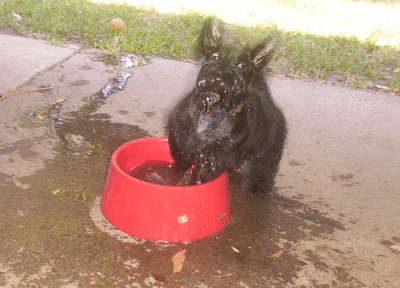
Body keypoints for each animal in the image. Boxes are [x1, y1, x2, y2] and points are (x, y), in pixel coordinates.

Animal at [167, 17, 286, 194]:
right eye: (215, 56)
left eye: (242, 65)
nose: (217, 78)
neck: (212, 112)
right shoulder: (178, 127)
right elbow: (179, 148)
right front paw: (184, 165)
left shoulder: (217, 154)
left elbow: (207, 168)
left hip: (269, 152)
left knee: (264, 170)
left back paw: (257, 187)